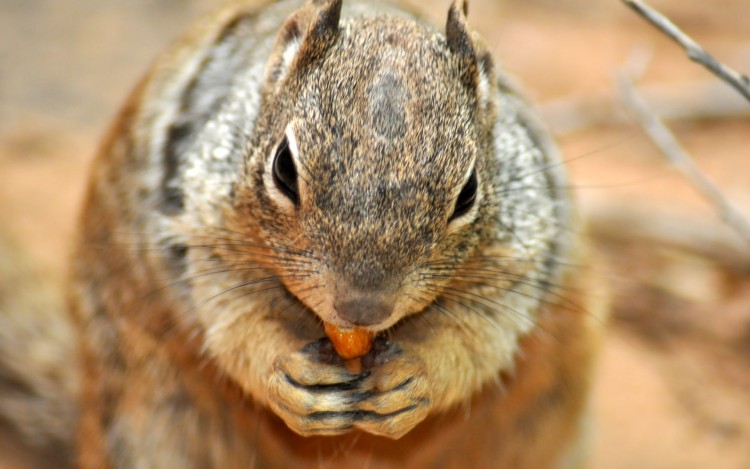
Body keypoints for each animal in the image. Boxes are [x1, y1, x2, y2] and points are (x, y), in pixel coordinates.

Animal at [0, 0, 608, 466]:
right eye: (283, 168)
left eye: (469, 193)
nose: (362, 307)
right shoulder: (203, 235)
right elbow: (237, 327)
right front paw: (285, 375)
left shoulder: (520, 259)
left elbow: (479, 339)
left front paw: (417, 379)